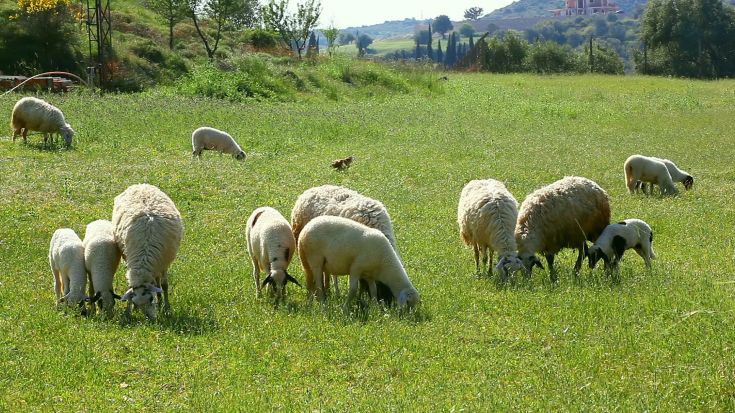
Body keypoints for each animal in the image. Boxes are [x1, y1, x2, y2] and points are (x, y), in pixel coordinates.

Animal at [112, 184, 183, 321]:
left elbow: (165, 285)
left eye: (150, 299)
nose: (151, 319)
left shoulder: (164, 262)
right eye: (136, 302)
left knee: (159, 282)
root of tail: (141, 185)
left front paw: (166, 308)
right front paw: (130, 311)